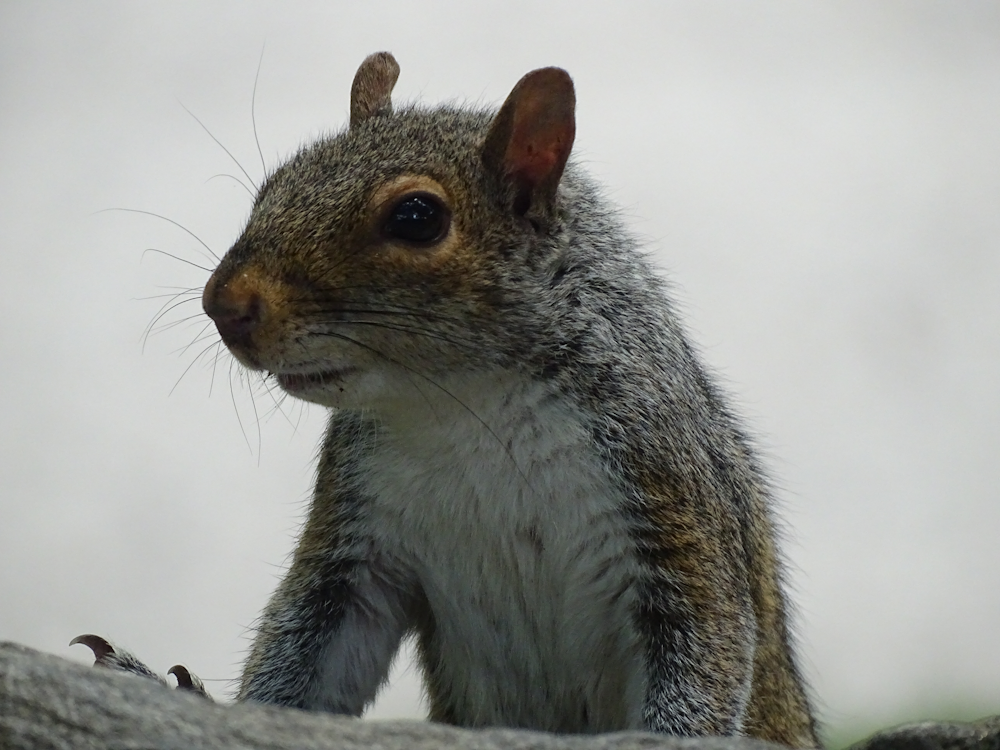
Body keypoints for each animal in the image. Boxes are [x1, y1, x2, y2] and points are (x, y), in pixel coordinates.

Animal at [76, 51, 820, 748]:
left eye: (416, 217)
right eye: (277, 182)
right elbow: (306, 661)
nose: (223, 305)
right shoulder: (357, 543)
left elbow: (704, 652)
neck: (467, 405)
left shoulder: (671, 504)